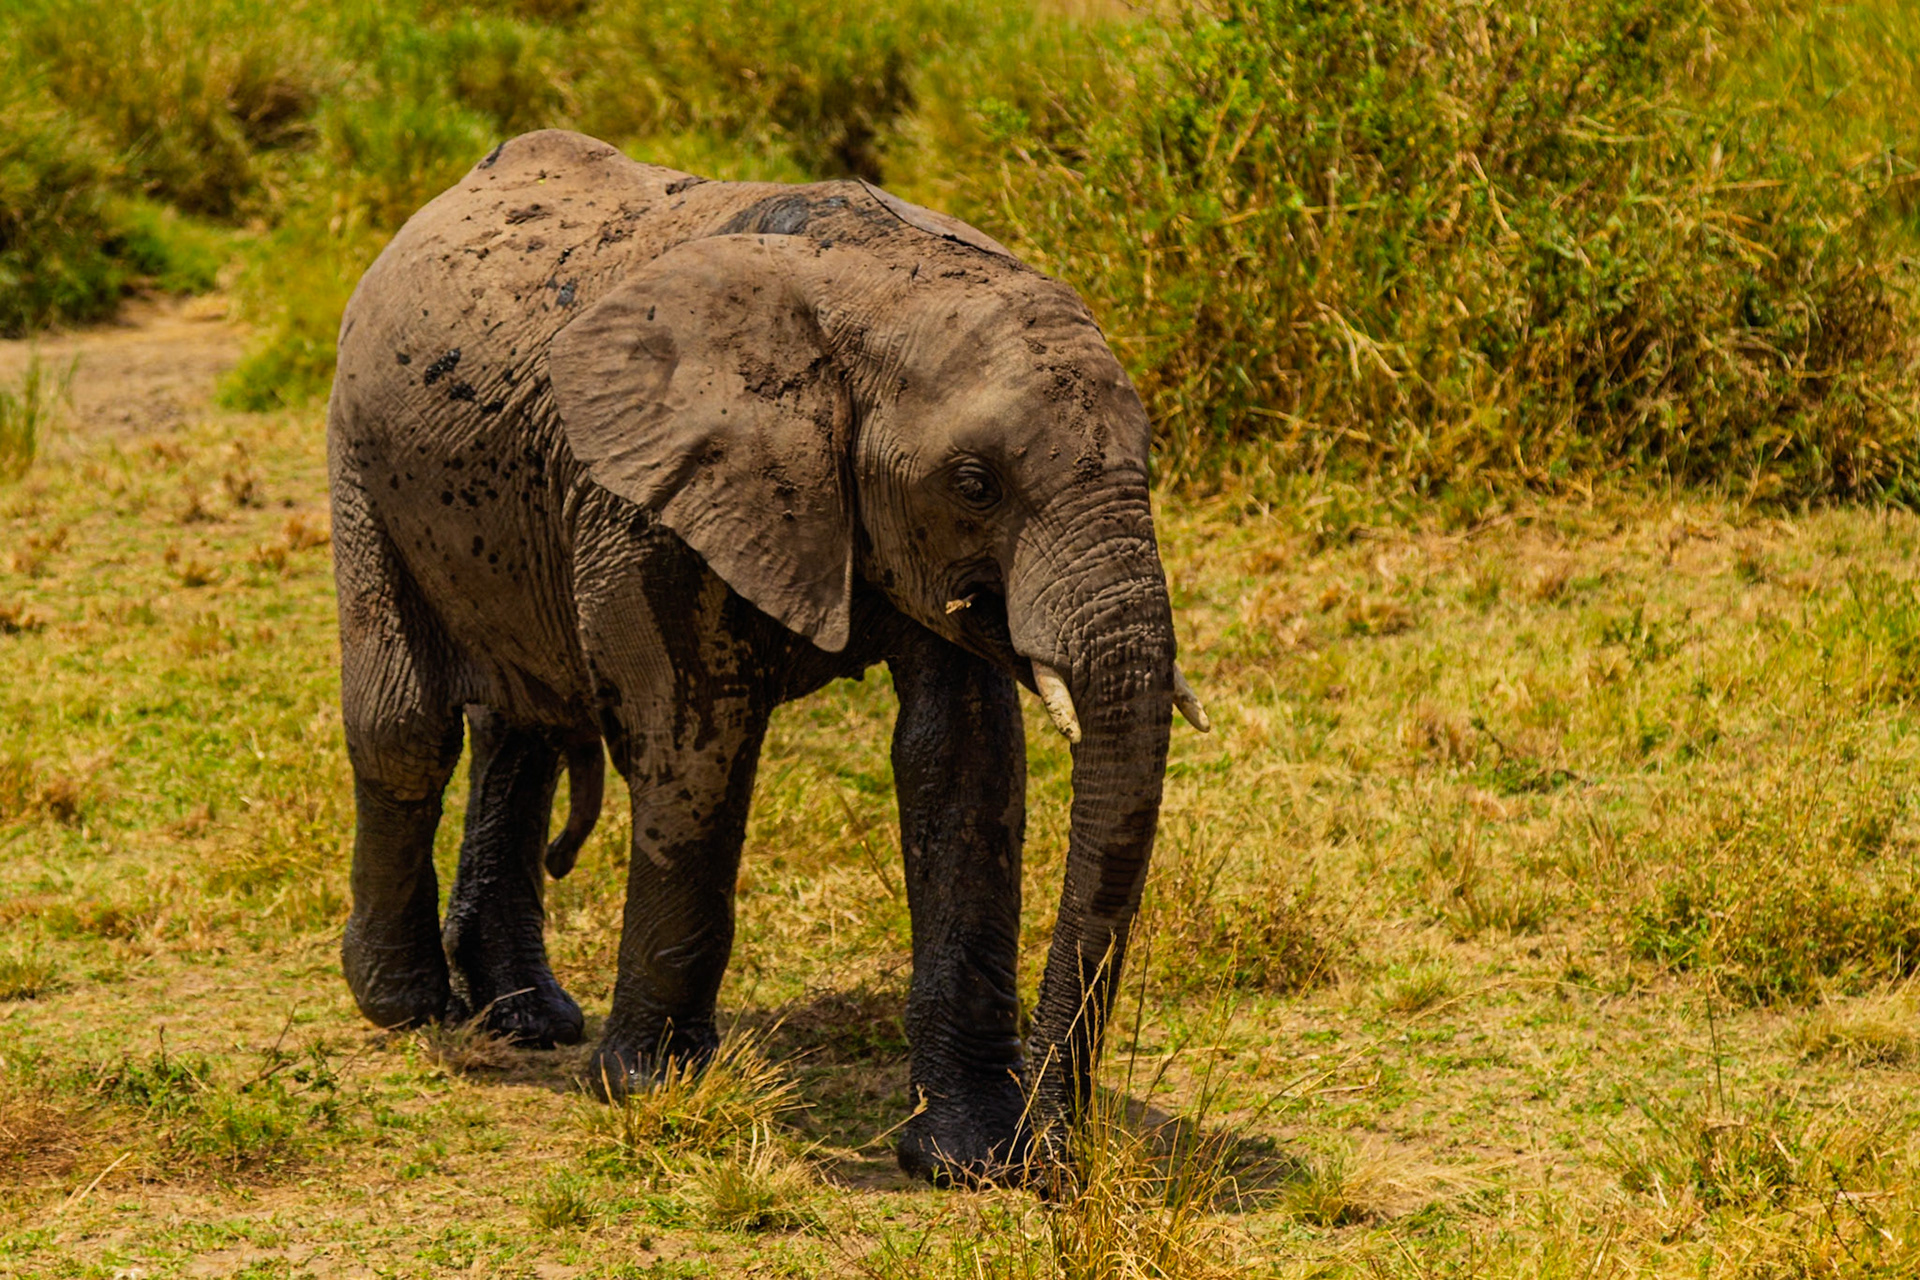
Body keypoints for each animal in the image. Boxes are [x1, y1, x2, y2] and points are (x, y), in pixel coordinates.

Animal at [326, 129, 1207, 1184]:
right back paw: (406, 1005)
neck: (872, 289)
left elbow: (959, 763)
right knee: (406, 726)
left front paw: (967, 1158)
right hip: (361, 452)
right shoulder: (644, 497)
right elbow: (698, 744)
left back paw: (527, 1020)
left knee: (520, 725)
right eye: (974, 483)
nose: (1054, 1157)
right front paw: (656, 1089)